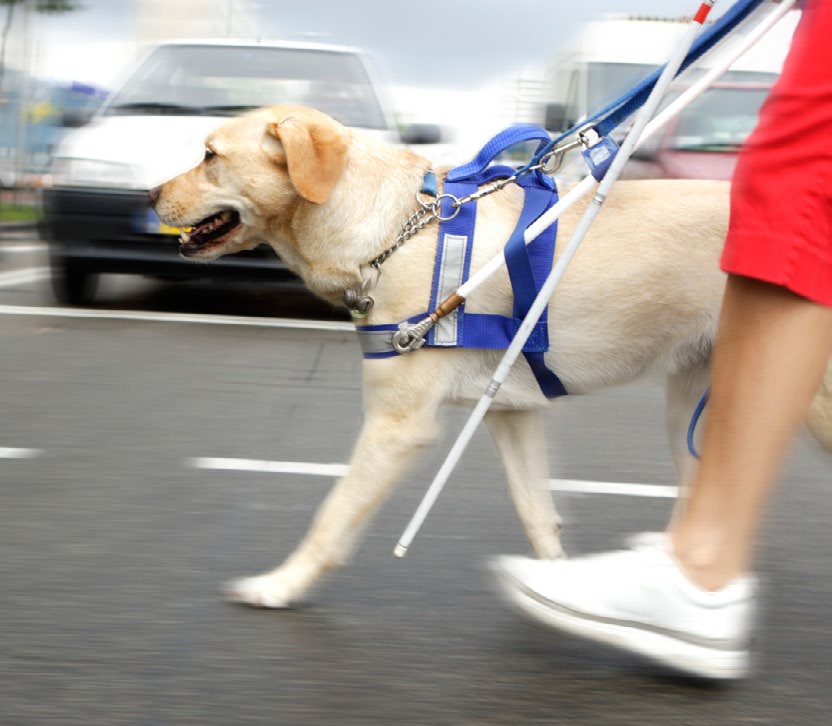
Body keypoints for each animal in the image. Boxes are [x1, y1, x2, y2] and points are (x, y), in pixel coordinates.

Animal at [150, 104, 832, 608]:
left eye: (209, 156)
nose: (150, 192)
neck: (396, 231)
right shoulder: (510, 413)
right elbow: (537, 514)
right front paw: (559, 587)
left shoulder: (398, 426)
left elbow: (332, 517)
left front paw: (280, 585)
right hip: (698, 405)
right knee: (702, 500)